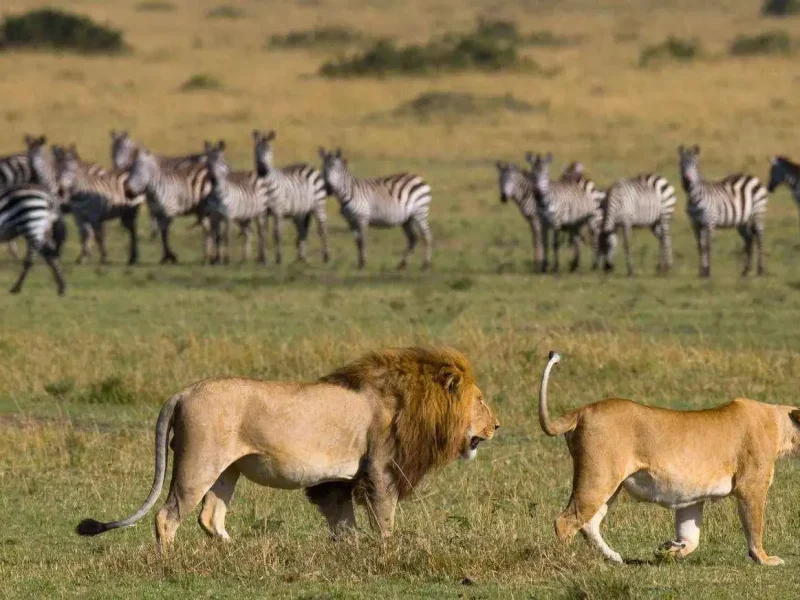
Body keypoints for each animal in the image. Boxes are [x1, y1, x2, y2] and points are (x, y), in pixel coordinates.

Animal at [76, 346, 498, 548]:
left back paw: (237, 553)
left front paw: (349, 549)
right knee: (167, 517)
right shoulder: (380, 468)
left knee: (210, 517)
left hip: (227, 470)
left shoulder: (339, 480)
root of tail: (183, 392)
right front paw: (387, 550)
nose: (497, 425)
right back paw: (170, 562)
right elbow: (385, 517)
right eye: (480, 399)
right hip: (198, 465)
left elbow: (343, 521)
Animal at [538, 351, 800, 566]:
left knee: (589, 523)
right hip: (598, 477)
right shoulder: (752, 486)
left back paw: (615, 557)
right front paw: (765, 559)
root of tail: (582, 410)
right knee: (566, 520)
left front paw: (670, 549)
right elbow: (755, 526)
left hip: (610, 484)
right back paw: (567, 560)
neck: (780, 424)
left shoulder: (692, 497)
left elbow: (691, 536)